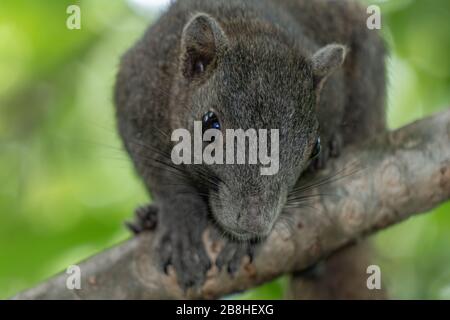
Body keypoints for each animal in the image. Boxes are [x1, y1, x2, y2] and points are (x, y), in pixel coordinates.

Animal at [114, 0, 384, 290]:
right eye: (210, 123)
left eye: (315, 148)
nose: (255, 222)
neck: (247, 25)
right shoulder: (139, 87)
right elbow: (160, 172)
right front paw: (180, 224)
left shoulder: (332, 96)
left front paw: (242, 244)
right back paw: (148, 218)